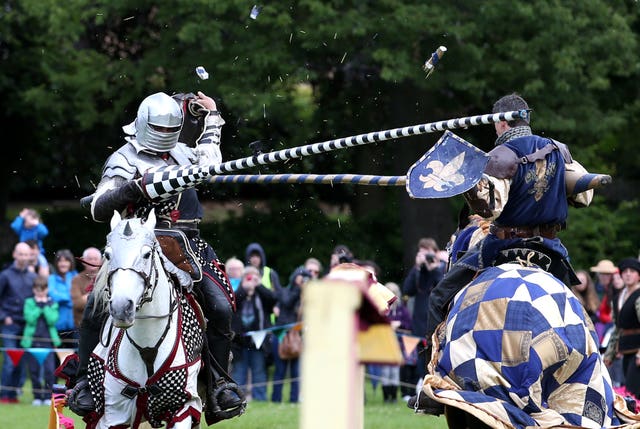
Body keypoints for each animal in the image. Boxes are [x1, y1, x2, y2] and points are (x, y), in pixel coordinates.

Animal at [85, 211, 205, 428]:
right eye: (107, 255)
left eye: (147, 254)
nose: (121, 308)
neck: (147, 347)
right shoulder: (112, 413)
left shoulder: (184, 406)